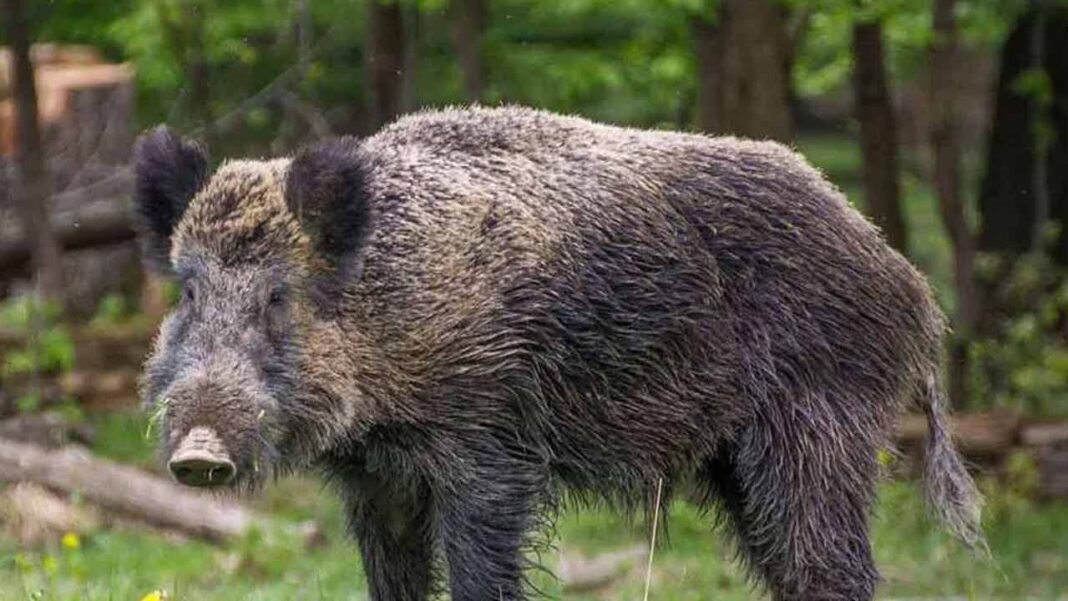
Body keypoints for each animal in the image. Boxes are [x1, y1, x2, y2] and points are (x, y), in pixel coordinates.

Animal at [134, 106, 982, 601]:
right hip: (736, 461)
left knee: (832, 564)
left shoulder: (488, 448)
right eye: (187, 292)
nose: (198, 453)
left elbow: (483, 571)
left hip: (818, 424)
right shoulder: (377, 479)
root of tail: (909, 284)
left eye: (280, 295)